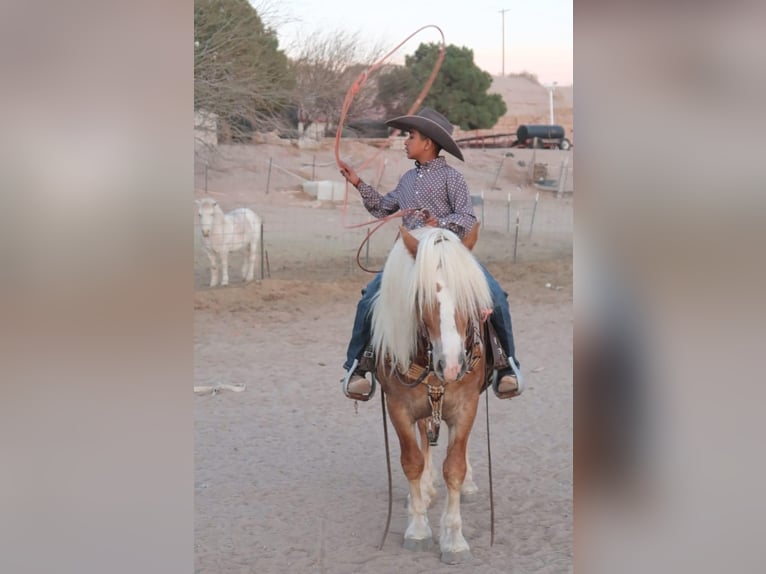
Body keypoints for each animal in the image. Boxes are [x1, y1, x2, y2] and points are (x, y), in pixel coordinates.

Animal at [370, 225, 492, 568]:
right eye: (421, 297)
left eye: (469, 296)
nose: (451, 365)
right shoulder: (398, 407)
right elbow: (411, 461)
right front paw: (418, 529)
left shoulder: (466, 407)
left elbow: (455, 467)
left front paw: (454, 541)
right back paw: (424, 490)